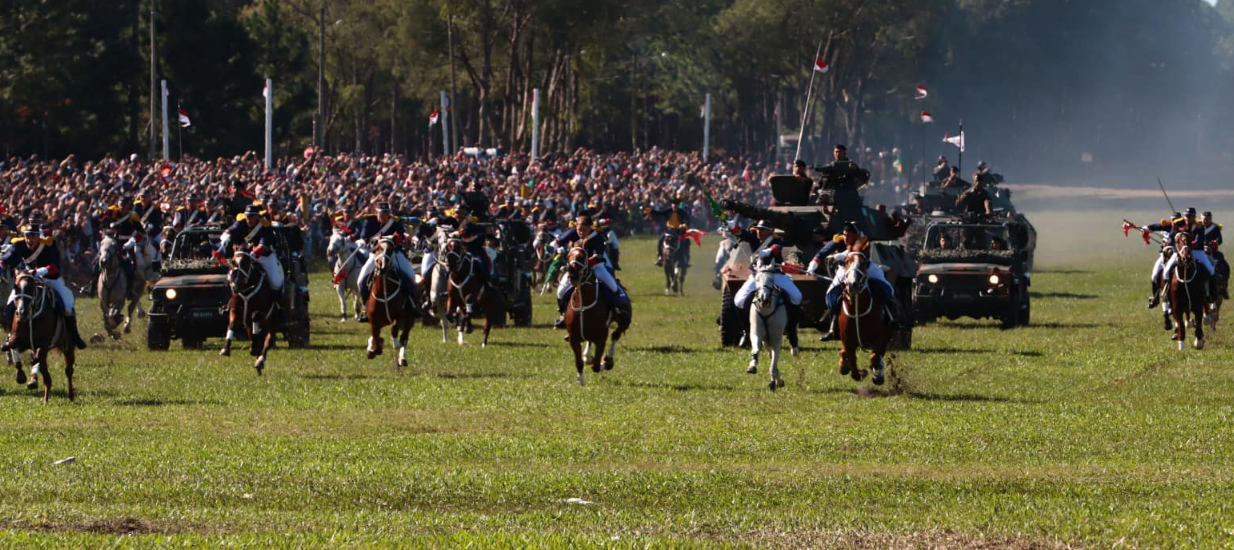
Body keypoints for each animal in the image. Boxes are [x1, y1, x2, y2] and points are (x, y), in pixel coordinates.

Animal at [8, 272, 75, 402]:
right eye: (16, 287)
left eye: (30, 288)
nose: (22, 312)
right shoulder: (19, 340)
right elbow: (12, 345)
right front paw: (21, 375)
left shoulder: (43, 344)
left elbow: (37, 359)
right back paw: (43, 392)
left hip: (68, 347)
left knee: (68, 371)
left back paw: (69, 395)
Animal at [362, 236, 422, 365]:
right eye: (377, 248)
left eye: (391, 250)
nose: (382, 266)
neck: (384, 292)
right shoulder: (373, 321)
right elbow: (376, 342)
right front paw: (373, 348)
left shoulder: (400, 316)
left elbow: (394, 330)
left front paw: (395, 344)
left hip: (409, 319)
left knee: (404, 337)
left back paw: (402, 357)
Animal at [565, 246, 631, 384]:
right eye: (568, 256)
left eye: (582, 257)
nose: (573, 275)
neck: (583, 305)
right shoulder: (573, 339)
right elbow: (579, 361)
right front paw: (581, 380)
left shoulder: (601, 338)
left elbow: (595, 366)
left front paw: (607, 362)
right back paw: (588, 355)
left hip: (624, 322)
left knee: (616, 335)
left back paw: (609, 356)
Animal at [839, 242, 888, 384]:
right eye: (846, 261)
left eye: (864, 263)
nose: (853, 284)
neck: (858, 309)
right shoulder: (848, 341)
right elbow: (854, 370)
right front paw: (860, 371)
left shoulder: (881, 337)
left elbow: (875, 357)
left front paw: (877, 375)